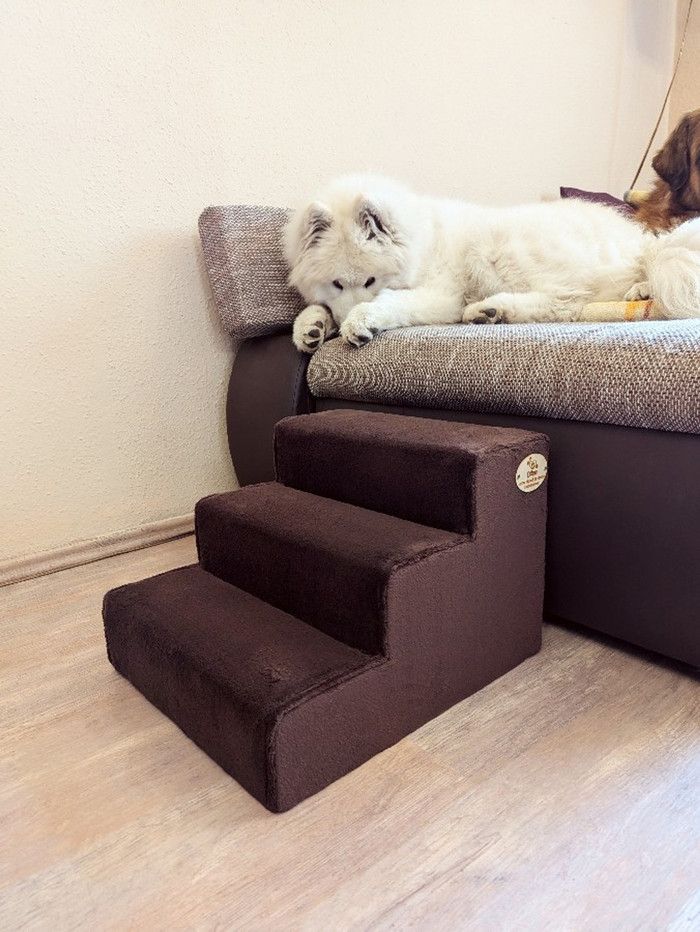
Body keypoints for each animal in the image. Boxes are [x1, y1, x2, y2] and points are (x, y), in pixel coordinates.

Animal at [283, 174, 700, 352]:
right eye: (337, 283)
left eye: (370, 280)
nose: (335, 332)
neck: (422, 241)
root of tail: (643, 245)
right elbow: (317, 308)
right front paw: (313, 326)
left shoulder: (442, 294)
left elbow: (392, 302)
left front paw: (359, 321)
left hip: (498, 248)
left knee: (563, 303)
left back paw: (489, 310)